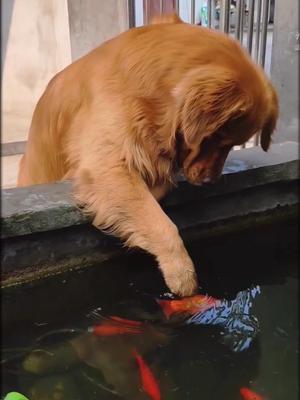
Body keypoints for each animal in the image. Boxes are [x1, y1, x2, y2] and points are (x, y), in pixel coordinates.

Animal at [17, 14, 278, 296]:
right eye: (216, 138)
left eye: (232, 144)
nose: (210, 181)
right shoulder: (105, 164)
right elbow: (162, 223)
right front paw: (182, 274)